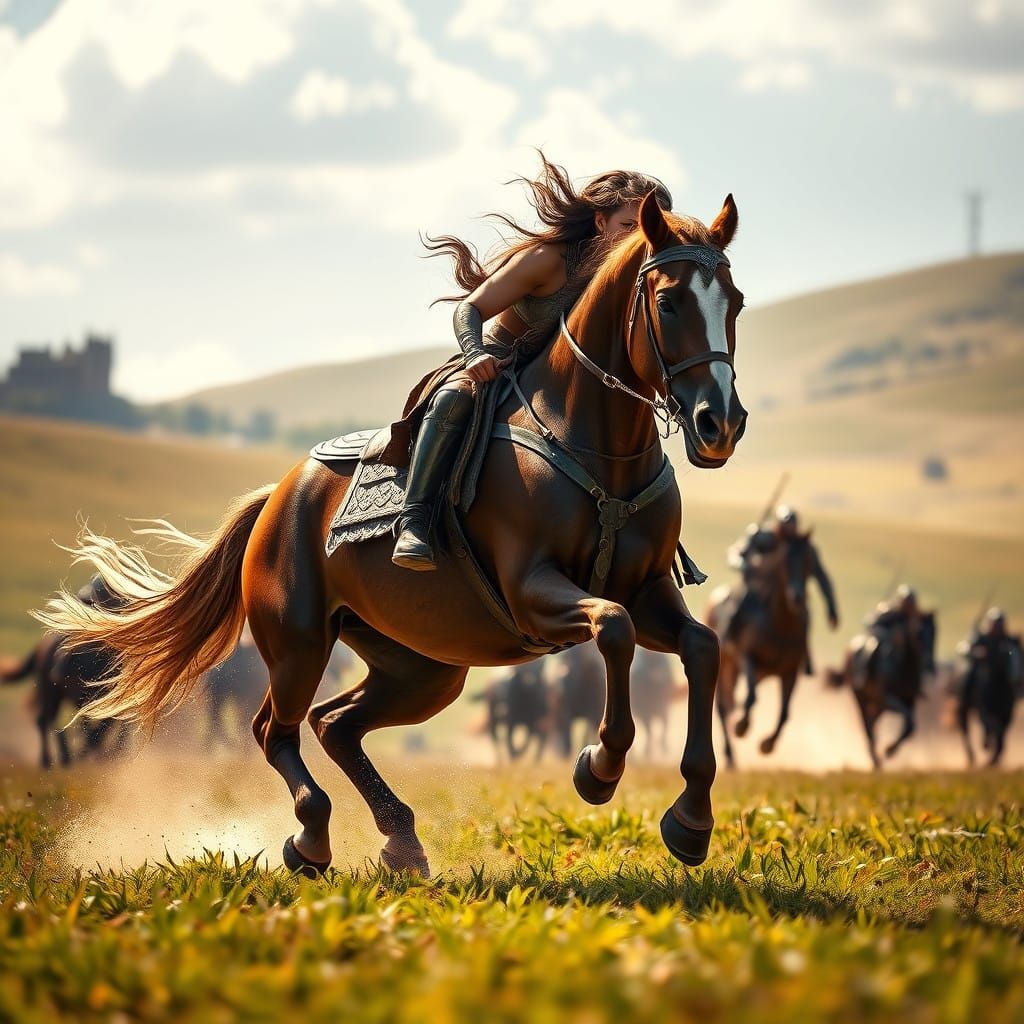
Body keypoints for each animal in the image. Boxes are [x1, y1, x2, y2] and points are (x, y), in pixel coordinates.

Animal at [36, 192, 746, 877]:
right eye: (669, 300)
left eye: (734, 302)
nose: (720, 425)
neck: (597, 445)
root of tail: (276, 499)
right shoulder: (533, 592)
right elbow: (613, 629)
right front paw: (599, 767)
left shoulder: (648, 591)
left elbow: (701, 646)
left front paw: (691, 820)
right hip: (299, 642)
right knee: (275, 730)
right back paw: (313, 840)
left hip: (423, 668)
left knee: (334, 724)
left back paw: (400, 840)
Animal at [706, 533, 815, 768]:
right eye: (784, 560)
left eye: (808, 560)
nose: (797, 597)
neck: (781, 624)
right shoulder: (748, 659)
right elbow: (751, 698)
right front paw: (742, 726)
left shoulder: (790, 671)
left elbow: (784, 712)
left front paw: (767, 744)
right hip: (727, 666)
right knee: (722, 708)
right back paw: (730, 754)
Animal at [827, 612, 937, 769]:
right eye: (918, 633)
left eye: (935, 633)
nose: (930, 665)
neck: (903, 666)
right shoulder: (886, 699)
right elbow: (907, 718)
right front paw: (889, 749)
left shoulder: (909, 700)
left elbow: (910, 725)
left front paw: (890, 750)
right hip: (861, 699)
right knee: (867, 725)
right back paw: (875, 759)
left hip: (877, 706)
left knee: (872, 723)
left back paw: (875, 755)